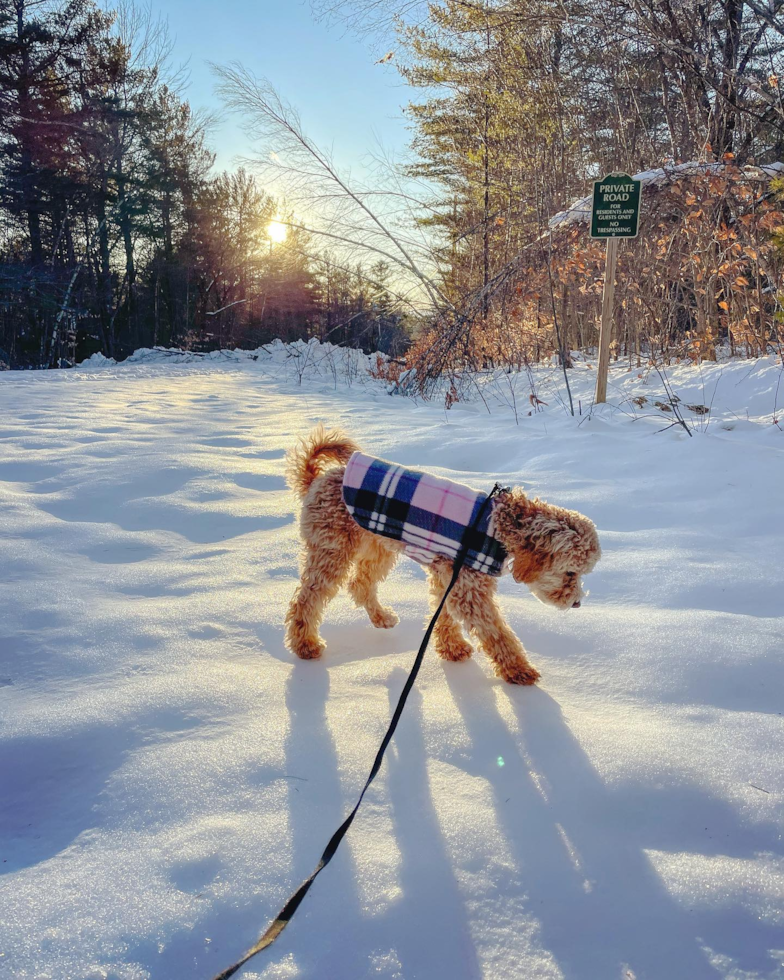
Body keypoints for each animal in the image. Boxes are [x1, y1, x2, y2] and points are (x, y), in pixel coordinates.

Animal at [284, 424, 604, 684]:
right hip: (332, 549)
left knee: (360, 584)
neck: (499, 527)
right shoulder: (468, 588)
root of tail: (317, 479)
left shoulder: (449, 576)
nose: (577, 603)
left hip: (377, 547)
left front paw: (452, 648)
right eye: (571, 572)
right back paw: (305, 644)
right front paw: (518, 670)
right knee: (308, 598)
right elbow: (497, 633)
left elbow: (445, 614)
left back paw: (381, 618)